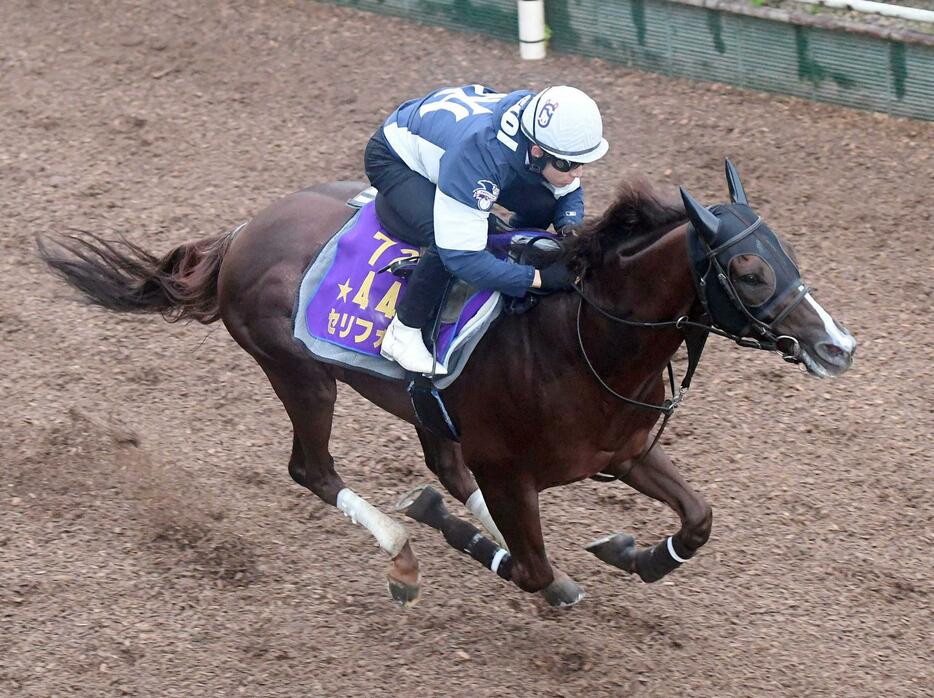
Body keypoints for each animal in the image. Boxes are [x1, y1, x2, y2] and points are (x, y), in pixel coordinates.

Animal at [38, 160, 856, 608]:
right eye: (747, 270)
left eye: (786, 252)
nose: (837, 346)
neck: (582, 339)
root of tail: (242, 233)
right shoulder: (512, 467)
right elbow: (530, 569)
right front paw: (454, 532)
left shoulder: (622, 450)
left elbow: (699, 519)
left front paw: (636, 554)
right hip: (301, 375)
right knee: (314, 469)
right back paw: (403, 551)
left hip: (419, 404)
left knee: (442, 461)